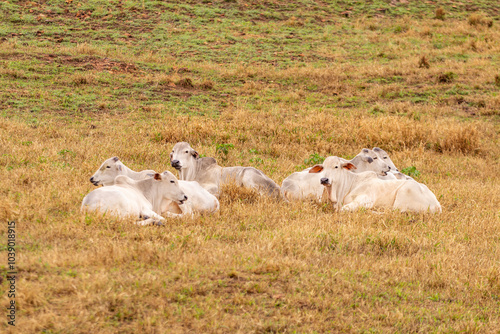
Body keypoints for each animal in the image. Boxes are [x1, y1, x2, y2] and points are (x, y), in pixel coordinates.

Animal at [308, 157, 442, 214]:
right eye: (323, 167)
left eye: (336, 166)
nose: (324, 179)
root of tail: (437, 205)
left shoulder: (366, 199)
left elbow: (345, 209)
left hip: (405, 191)